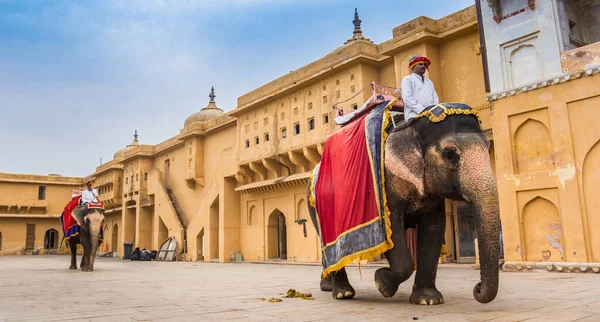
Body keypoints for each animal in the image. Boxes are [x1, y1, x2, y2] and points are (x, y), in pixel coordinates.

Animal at [308, 107, 500, 306]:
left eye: (487, 147)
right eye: (450, 154)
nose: (477, 287)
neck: (412, 127)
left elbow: (434, 228)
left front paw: (428, 300)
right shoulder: (387, 185)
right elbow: (392, 229)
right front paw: (382, 284)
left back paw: (327, 286)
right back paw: (343, 293)